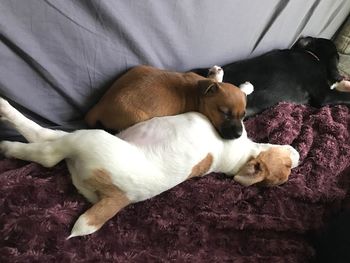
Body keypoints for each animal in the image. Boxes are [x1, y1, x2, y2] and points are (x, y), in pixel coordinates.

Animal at [0, 97, 298, 239]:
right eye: (286, 166)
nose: (296, 156)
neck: (239, 157)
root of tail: (118, 197)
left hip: (89, 138)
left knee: (46, 149)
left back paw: (8, 137)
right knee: (48, 137)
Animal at [86, 65, 253, 139]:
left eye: (243, 115)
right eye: (224, 113)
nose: (239, 135)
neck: (198, 93)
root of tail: (99, 107)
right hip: (137, 118)